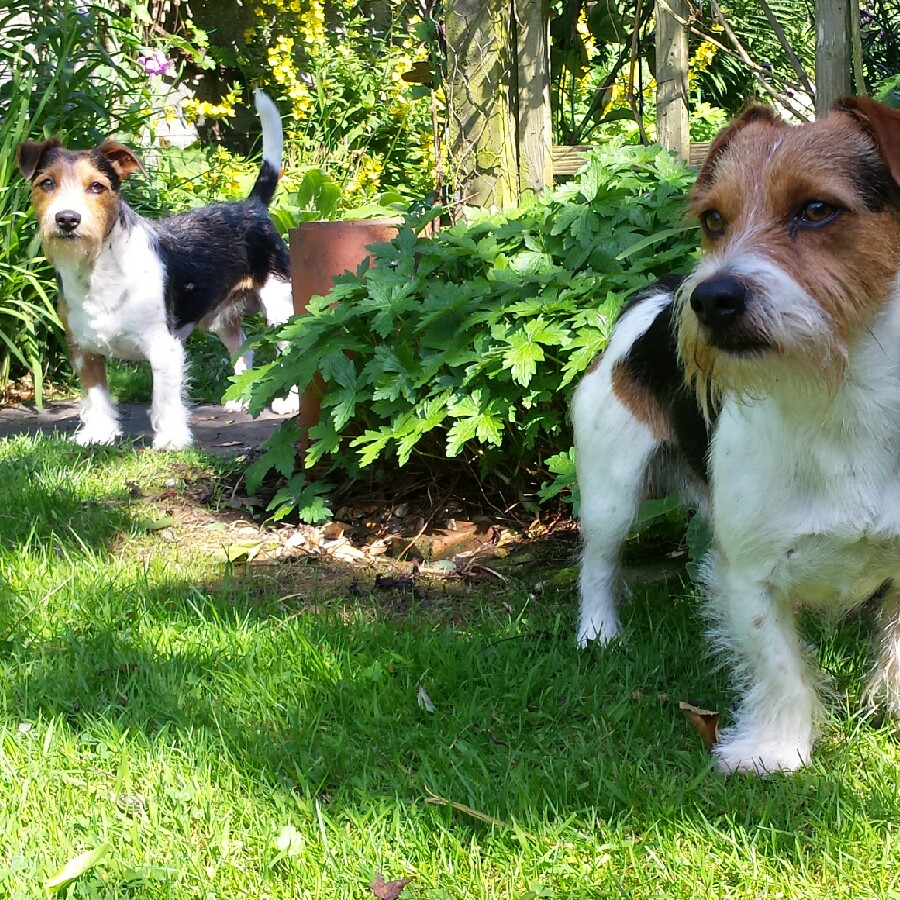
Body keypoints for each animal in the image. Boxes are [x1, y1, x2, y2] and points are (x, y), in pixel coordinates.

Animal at [16, 89, 298, 448]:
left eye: (97, 187)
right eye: (46, 183)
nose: (67, 219)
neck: (98, 270)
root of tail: (252, 206)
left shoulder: (163, 348)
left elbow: (164, 398)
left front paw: (171, 438)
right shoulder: (84, 349)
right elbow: (96, 395)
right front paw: (99, 433)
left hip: (280, 308)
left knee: (293, 349)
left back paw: (290, 402)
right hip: (220, 317)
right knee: (242, 349)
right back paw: (239, 396)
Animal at [572, 98, 900, 772]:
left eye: (817, 209)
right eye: (714, 219)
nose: (709, 298)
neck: (841, 398)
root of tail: (654, 298)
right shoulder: (748, 574)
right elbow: (780, 668)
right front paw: (776, 751)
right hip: (610, 493)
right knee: (598, 563)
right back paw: (598, 634)